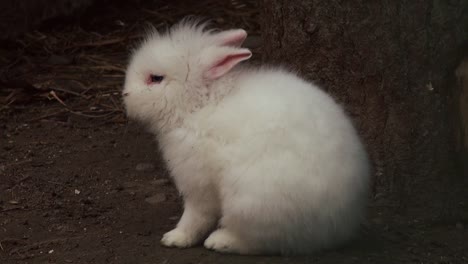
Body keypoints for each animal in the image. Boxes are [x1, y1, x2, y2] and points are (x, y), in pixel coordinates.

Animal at [122, 19, 372, 255]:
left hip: (250, 203)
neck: (200, 104)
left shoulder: (197, 182)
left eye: (155, 78)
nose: (125, 94)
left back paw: (220, 241)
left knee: (262, 242)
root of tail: (337, 228)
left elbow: (195, 216)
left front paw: (175, 238)